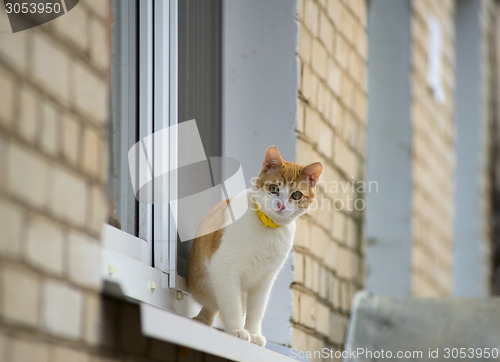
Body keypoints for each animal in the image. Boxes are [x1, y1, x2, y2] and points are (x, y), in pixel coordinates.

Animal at [186, 146, 322, 348]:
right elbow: (232, 303)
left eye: (296, 195)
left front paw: (253, 333)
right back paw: (204, 318)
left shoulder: (265, 279)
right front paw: (237, 330)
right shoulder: (224, 267)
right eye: (274, 188)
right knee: (213, 304)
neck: (268, 227)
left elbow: (257, 309)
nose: (281, 205)